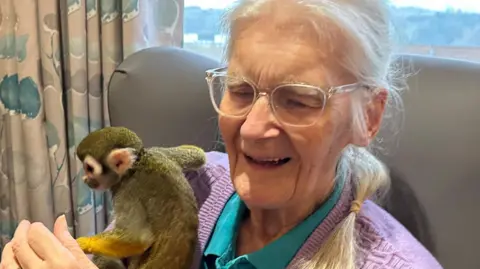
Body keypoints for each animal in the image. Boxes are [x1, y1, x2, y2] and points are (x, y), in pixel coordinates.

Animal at [74, 126, 205, 268]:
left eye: (89, 169)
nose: (85, 179)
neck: (135, 166)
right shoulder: (157, 153)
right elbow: (198, 155)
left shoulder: (127, 191)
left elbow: (138, 237)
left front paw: (82, 243)